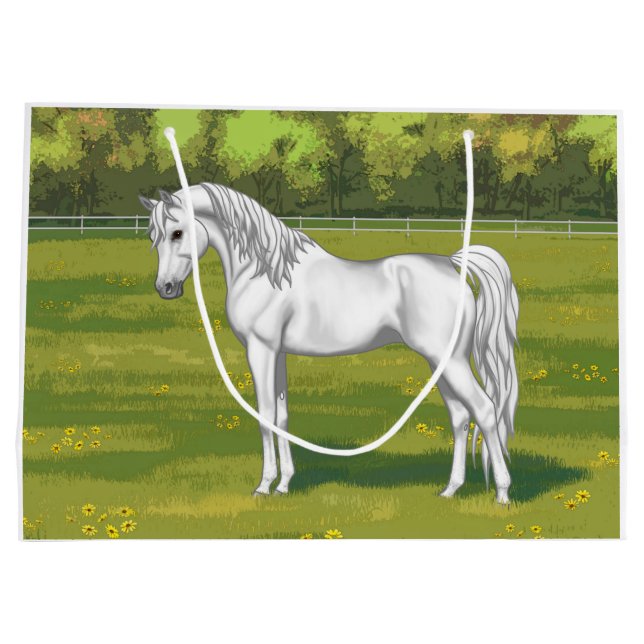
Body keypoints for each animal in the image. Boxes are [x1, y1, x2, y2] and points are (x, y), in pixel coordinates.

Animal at [139, 183, 519, 504]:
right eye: (153, 236)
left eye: (177, 232)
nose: (165, 288)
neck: (264, 271)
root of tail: (453, 266)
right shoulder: (278, 353)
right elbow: (282, 417)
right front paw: (284, 485)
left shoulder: (261, 350)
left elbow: (265, 415)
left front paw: (264, 486)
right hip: (440, 361)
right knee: (459, 416)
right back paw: (450, 490)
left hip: (450, 361)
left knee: (484, 410)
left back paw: (502, 493)